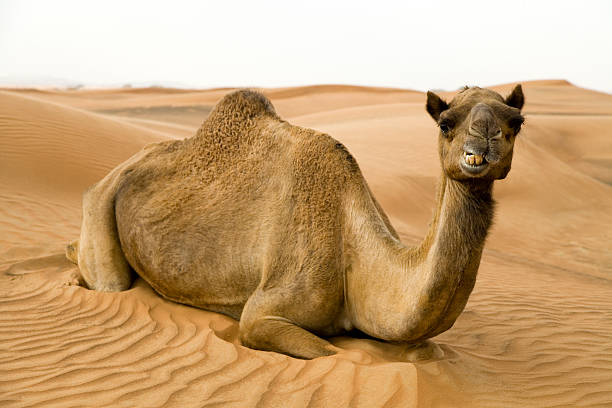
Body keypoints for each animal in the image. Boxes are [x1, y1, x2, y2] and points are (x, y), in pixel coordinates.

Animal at [67, 84, 524, 358]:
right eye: (446, 123)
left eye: (515, 122)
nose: (482, 141)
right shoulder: (262, 314)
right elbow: (330, 352)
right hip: (100, 202)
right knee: (109, 279)